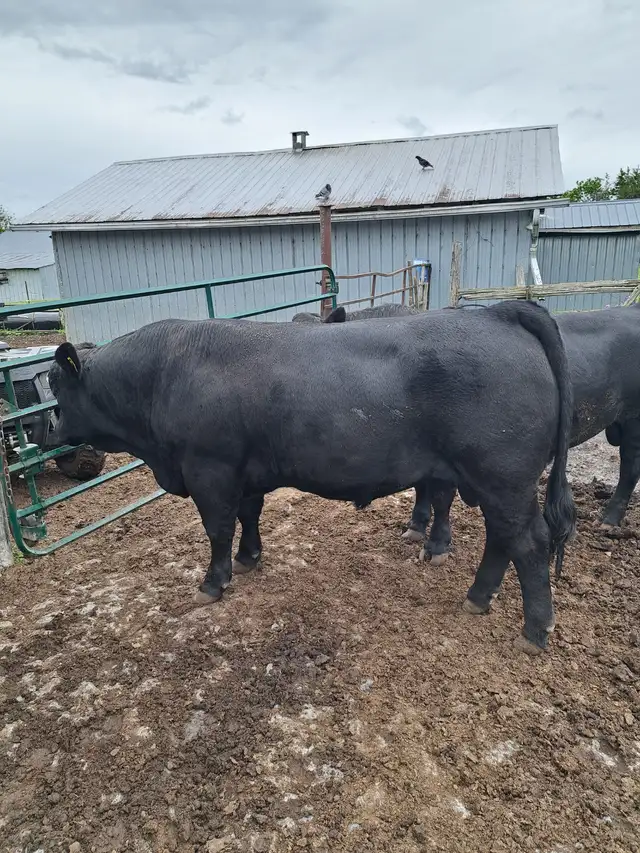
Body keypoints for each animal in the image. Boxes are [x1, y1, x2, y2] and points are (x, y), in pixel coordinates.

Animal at [49, 300, 576, 654]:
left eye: (55, 385)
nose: (49, 430)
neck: (165, 374)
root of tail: (499, 313)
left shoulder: (210, 469)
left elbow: (217, 529)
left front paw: (213, 582)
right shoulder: (247, 472)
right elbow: (249, 515)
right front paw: (249, 558)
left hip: (503, 476)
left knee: (528, 542)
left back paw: (535, 630)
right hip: (493, 481)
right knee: (502, 538)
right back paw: (478, 598)